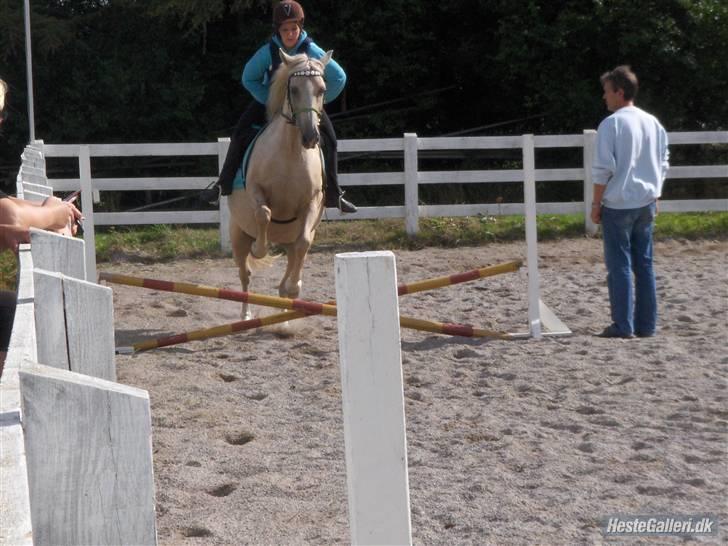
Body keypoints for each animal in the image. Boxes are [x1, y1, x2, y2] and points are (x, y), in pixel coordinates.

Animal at [229, 50, 332, 318]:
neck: (291, 152)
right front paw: (260, 248)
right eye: (293, 89)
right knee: (245, 274)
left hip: (290, 241)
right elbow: (264, 213)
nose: (310, 137)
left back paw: (286, 309)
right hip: (238, 235)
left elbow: (303, 243)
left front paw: (295, 286)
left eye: (322, 89)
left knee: (292, 262)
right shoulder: (256, 190)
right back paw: (245, 314)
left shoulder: (312, 203)